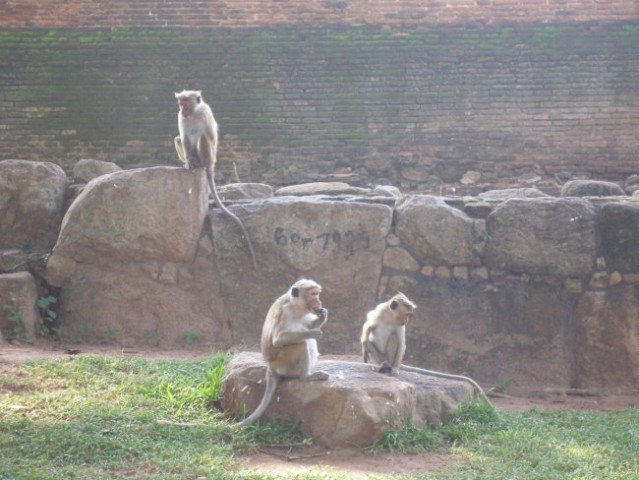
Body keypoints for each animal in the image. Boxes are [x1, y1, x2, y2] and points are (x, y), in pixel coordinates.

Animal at [175, 90, 258, 270]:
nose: (182, 110)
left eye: (185, 104)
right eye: (181, 104)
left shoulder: (204, 114)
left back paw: (199, 164)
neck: (194, 112)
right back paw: (190, 163)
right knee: (178, 139)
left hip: (208, 156)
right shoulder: (181, 118)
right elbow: (184, 138)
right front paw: (188, 160)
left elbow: (210, 135)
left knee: (203, 137)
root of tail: (210, 163)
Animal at [240, 278, 330, 424]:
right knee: (300, 344)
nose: (319, 301)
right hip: (283, 363)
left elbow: (308, 325)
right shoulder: (285, 312)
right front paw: (312, 332)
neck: (295, 305)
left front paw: (322, 315)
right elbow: (278, 339)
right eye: (313, 294)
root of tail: (270, 366)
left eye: (317, 294)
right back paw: (306, 376)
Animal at [362, 292, 492, 408]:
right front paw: (364, 349)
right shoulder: (379, 312)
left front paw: (394, 370)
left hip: (391, 357)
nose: (407, 321)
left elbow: (401, 344)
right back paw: (381, 366)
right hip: (379, 357)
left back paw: (389, 367)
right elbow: (368, 327)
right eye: (407, 314)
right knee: (370, 344)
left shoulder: (400, 325)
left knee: (392, 338)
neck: (390, 317)